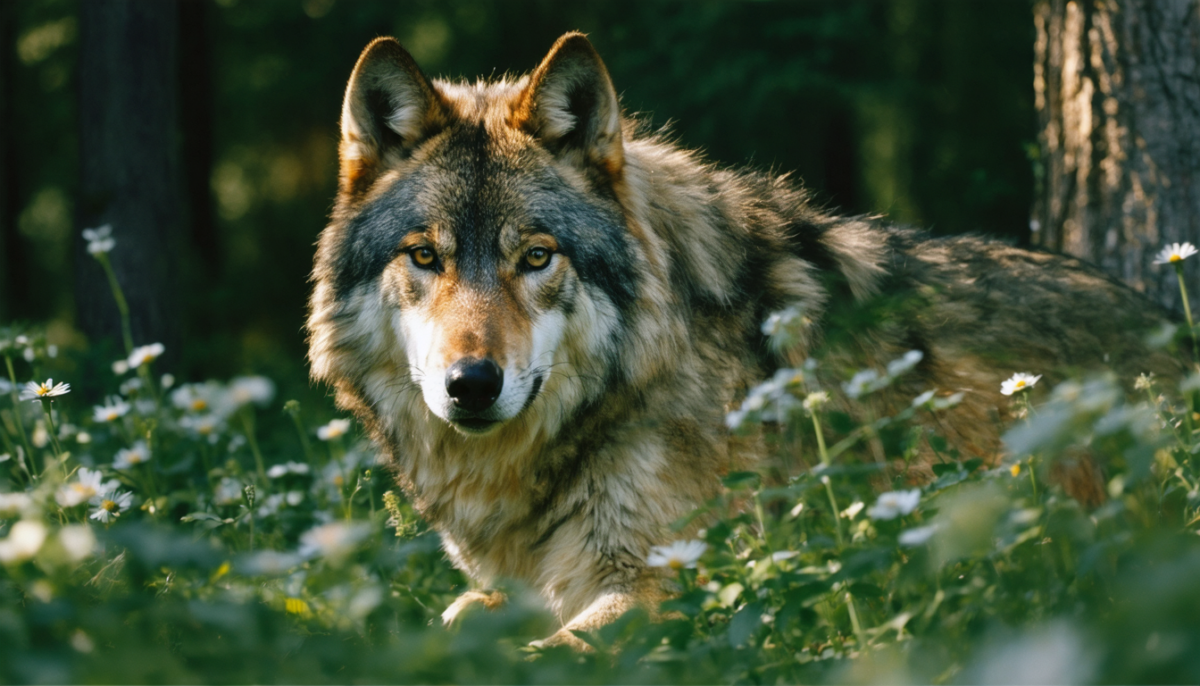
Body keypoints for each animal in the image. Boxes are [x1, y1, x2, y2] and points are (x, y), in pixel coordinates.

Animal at [306, 32, 1185, 648]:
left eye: (536, 257)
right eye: (426, 257)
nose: (471, 384)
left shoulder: (678, 575)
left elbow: (549, 651)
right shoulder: (505, 586)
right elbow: (454, 616)